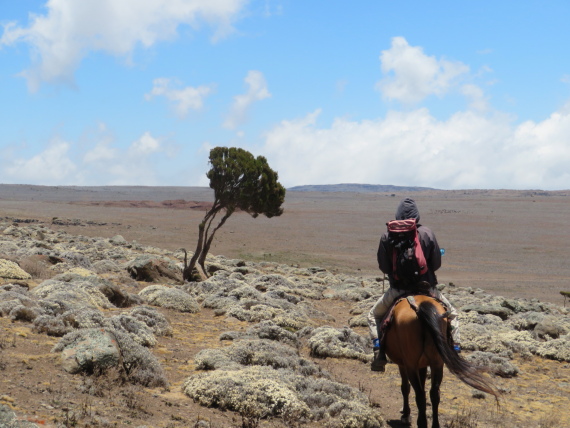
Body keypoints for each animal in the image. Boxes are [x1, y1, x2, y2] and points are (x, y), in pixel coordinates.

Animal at [382, 296, 496, 428]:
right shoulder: (422, 365)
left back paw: (421, 423)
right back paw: (434, 424)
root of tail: (420, 307)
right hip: (437, 363)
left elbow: (405, 388)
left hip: (412, 365)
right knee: (434, 394)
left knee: (419, 395)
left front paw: (406, 415)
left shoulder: (403, 364)